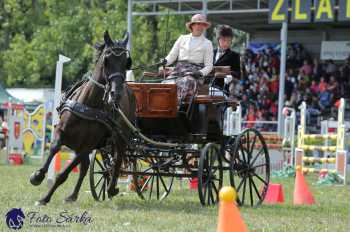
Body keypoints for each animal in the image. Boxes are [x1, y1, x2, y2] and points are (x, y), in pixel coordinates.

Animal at [29, 30, 136, 205]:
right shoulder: (61, 132)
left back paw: (111, 188)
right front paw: (38, 176)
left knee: (117, 160)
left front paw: (45, 197)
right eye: (107, 60)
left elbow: (63, 174)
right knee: (86, 167)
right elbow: (54, 148)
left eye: (126, 62)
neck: (89, 104)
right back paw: (73, 195)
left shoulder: (86, 146)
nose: (116, 93)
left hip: (120, 138)